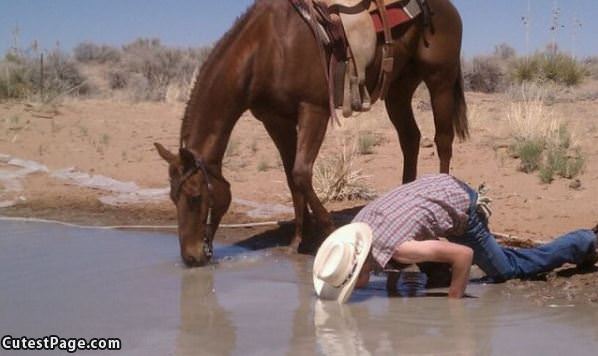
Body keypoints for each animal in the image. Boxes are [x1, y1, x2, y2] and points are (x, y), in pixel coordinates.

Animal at [155, 0, 468, 268]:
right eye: (172, 197)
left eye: (195, 197)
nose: (191, 256)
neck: (267, 48)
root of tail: (448, 8)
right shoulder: (275, 120)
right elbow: (291, 177)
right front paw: (297, 240)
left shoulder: (313, 110)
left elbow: (301, 172)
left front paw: (327, 230)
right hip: (398, 88)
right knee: (410, 138)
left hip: (439, 80)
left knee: (442, 141)